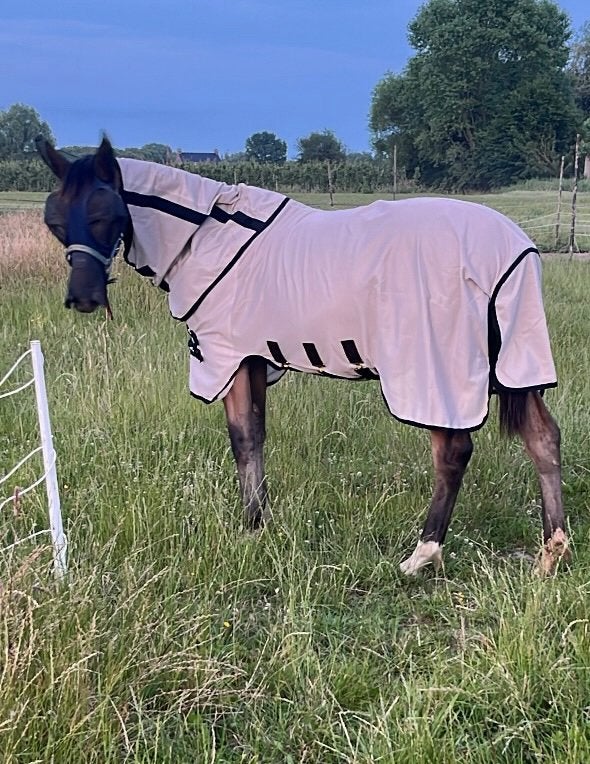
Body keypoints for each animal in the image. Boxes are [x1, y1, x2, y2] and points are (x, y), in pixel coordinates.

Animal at [36, 135, 569, 575]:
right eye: (55, 222)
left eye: (106, 214)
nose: (83, 298)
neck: (207, 234)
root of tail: (514, 251)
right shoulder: (253, 360)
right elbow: (257, 435)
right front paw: (261, 520)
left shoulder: (225, 360)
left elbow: (243, 439)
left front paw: (251, 526)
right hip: (516, 367)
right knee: (543, 439)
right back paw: (551, 553)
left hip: (434, 375)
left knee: (453, 453)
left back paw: (422, 554)